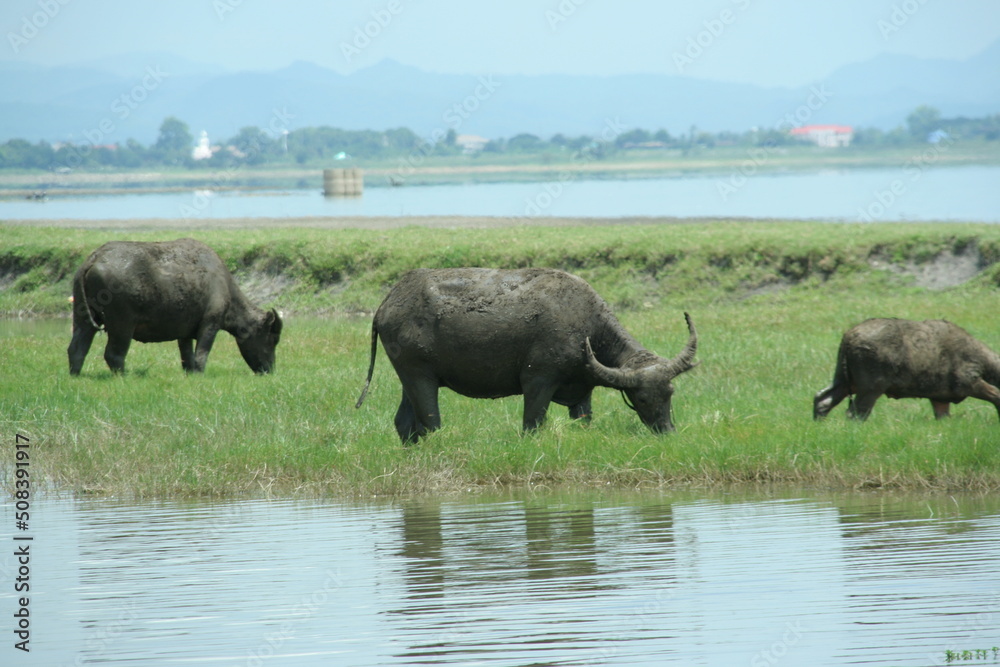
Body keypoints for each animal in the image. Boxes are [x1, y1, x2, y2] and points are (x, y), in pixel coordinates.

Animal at [68, 238, 282, 375]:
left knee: (77, 349)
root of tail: (94, 258)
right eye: (272, 338)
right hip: (122, 326)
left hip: (83, 320)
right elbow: (201, 355)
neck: (224, 285)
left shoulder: (184, 333)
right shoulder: (210, 325)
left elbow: (187, 357)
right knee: (114, 354)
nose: (269, 370)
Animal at [355, 267, 698, 442]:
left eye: (670, 393)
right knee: (430, 423)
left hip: (408, 380)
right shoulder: (538, 382)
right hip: (419, 376)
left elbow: (583, 421)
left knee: (404, 423)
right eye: (642, 398)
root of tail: (387, 303)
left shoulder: (582, 392)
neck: (585, 324)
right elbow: (532, 425)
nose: (668, 431)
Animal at [813, 317, 1000, 421]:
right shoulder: (969, 383)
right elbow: (996, 395)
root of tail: (849, 336)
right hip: (870, 388)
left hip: (845, 381)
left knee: (823, 399)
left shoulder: (940, 399)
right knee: (856, 412)